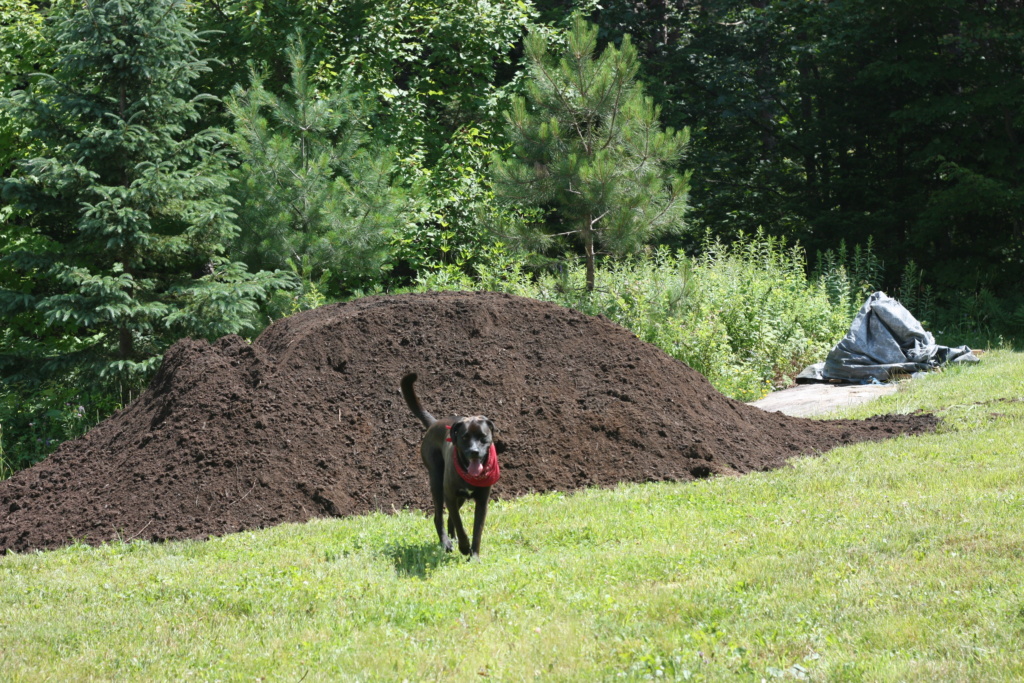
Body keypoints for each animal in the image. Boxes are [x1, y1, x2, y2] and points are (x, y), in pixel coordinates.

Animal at [397, 370, 497, 557]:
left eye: (483, 437)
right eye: (465, 437)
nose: (474, 452)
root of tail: (434, 423)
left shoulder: (482, 501)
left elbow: (477, 530)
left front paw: (474, 555)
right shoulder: (450, 495)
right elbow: (459, 522)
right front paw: (464, 547)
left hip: (458, 496)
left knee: (450, 517)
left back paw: (453, 539)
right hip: (436, 482)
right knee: (440, 517)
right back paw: (446, 542)